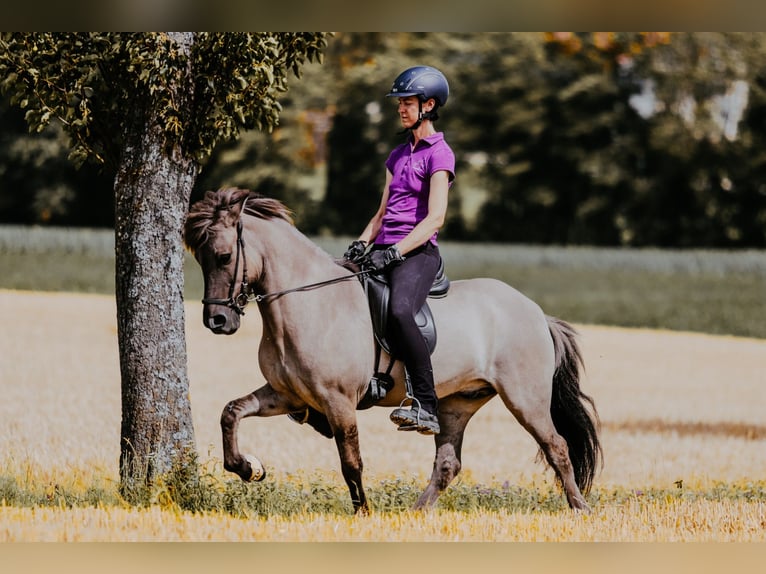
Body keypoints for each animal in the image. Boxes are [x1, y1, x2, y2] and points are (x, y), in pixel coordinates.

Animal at [184, 187, 602, 514]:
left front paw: (363, 514)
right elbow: (231, 412)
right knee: (447, 464)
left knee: (557, 447)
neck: (309, 303)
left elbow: (351, 461)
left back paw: (580, 508)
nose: (217, 321)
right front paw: (247, 467)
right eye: (199, 258)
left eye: (224, 256)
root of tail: (535, 312)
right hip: (457, 403)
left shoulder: (338, 401)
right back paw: (415, 514)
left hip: (524, 398)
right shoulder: (287, 394)